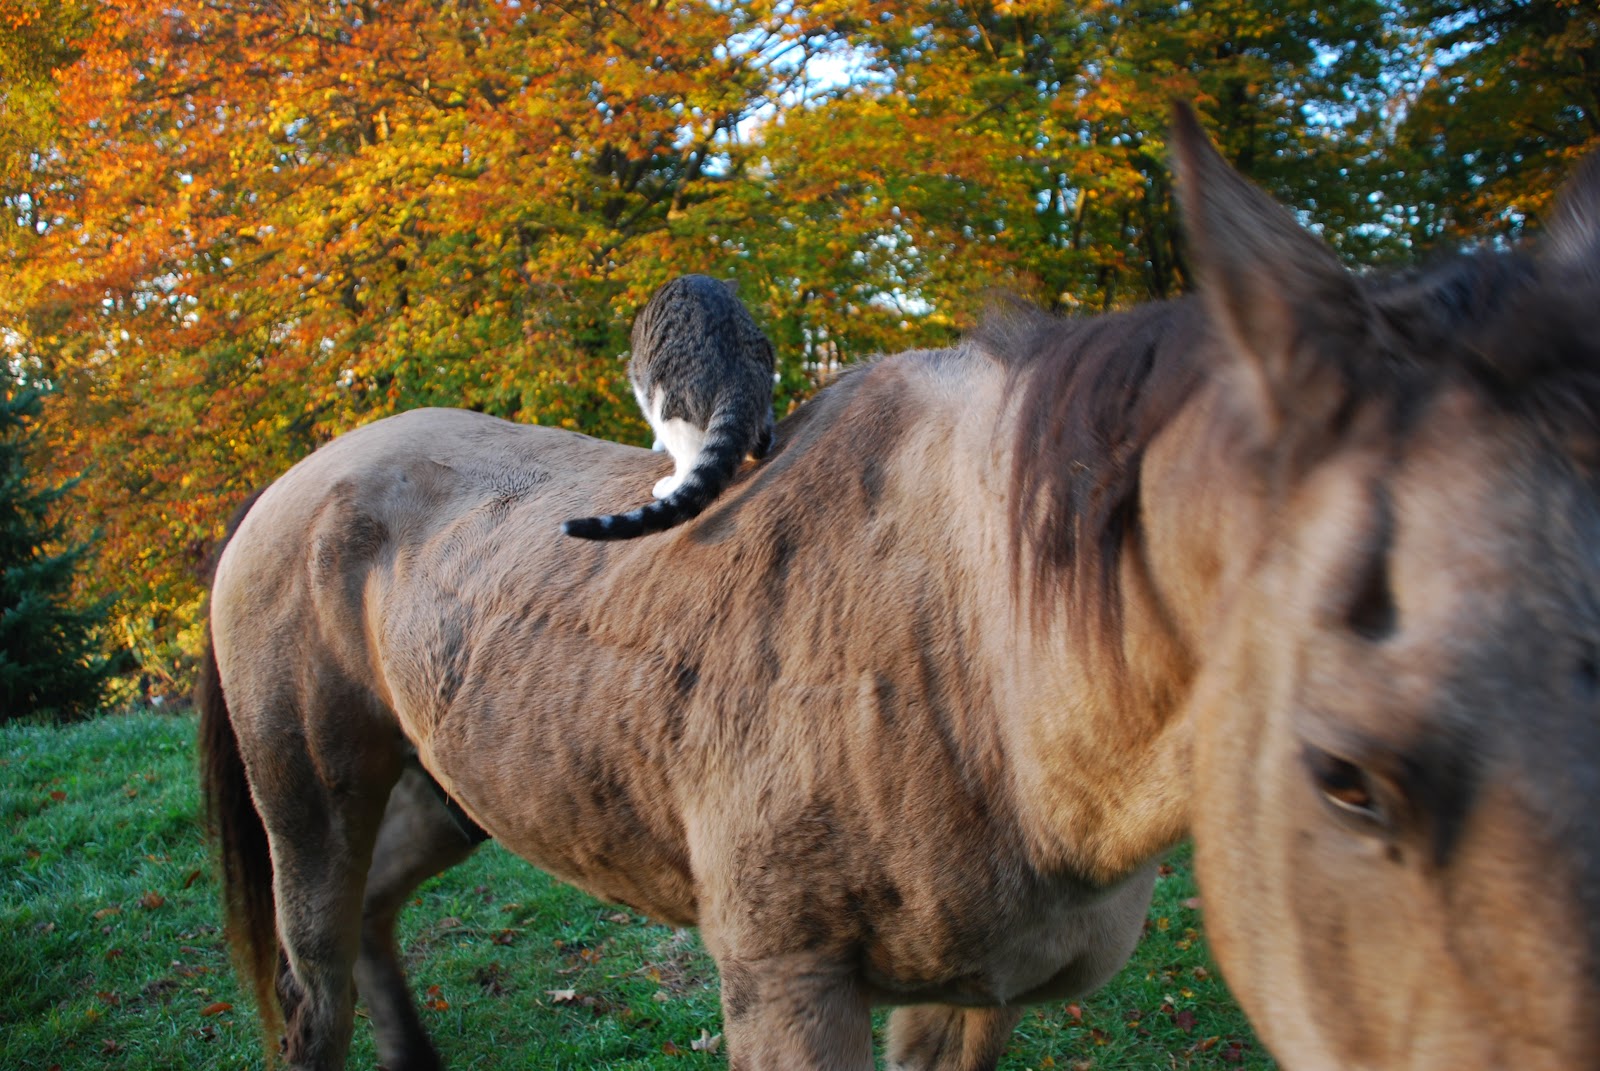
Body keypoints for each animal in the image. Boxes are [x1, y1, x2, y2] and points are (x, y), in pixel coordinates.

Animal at [197, 104, 1600, 1070]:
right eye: (1345, 778)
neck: (984, 664)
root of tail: (288, 485)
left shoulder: (968, 997)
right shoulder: (784, 987)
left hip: (451, 785)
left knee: (373, 921)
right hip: (313, 803)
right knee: (315, 981)